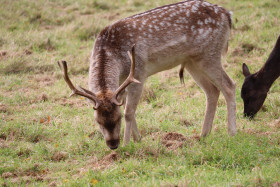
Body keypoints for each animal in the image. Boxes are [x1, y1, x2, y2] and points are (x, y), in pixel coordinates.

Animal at [57, 0, 236, 149]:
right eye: (97, 121)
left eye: (117, 118)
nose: (113, 145)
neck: (113, 53)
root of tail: (227, 15)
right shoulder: (121, 84)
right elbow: (128, 108)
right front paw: (138, 139)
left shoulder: (138, 73)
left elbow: (129, 112)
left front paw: (128, 144)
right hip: (192, 61)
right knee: (212, 91)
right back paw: (203, 135)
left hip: (209, 54)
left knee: (229, 85)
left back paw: (231, 133)